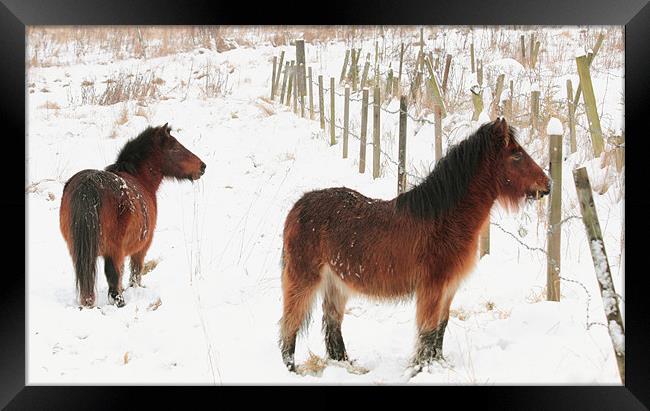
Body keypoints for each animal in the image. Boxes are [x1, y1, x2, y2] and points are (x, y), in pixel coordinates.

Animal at [60, 125, 205, 308]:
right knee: (113, 283)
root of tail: (88, 185)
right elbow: (134, 273)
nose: (202, 166)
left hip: (77, 250)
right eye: (175, 147)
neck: (140, 178)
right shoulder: (141, 248)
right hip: (113, 251)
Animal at [280, 118, 548, 374]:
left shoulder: (448, 288)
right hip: (303, 280)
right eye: (516, 155)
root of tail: (298, 206)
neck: (444, 219)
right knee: (290, 323)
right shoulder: (432, 287)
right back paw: (292, 369)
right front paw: (422, 368)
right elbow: (427, 331)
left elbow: (441, 327)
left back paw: (348, 366)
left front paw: (437, 365)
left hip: (337, 283)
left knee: (332, 325)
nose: (548, 184)